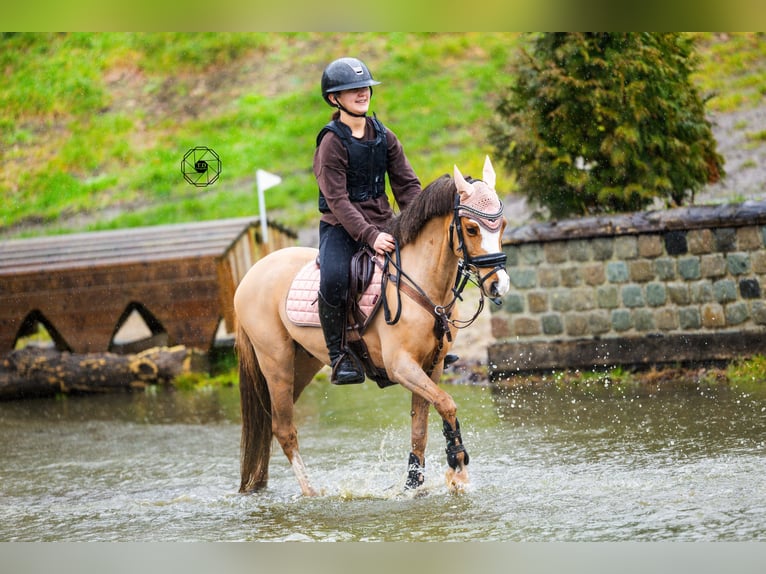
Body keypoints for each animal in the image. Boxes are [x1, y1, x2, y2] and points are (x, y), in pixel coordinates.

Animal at [234, 156, 510, 496]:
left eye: (502, 225)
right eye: (471, 228)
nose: (499, 285)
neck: (422, 285)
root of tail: (251, 274)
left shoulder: (430, 366)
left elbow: (422, 426)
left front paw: (415, 484)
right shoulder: (401, 366)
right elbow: (447, 403)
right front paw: (457, 466)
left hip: (302, 364)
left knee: (271, 424)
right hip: (276, 362)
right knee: (284, 429)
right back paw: (312, 494)